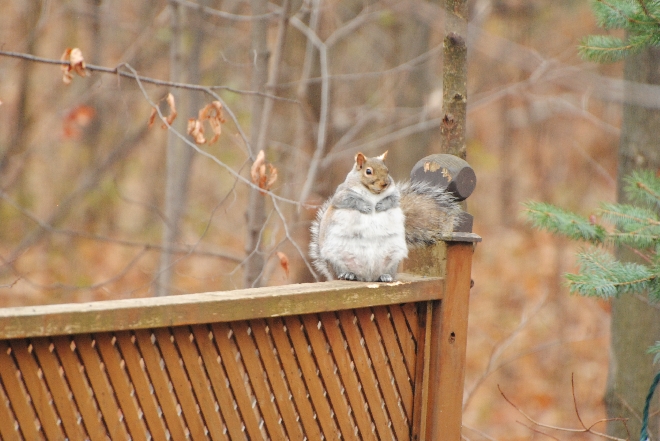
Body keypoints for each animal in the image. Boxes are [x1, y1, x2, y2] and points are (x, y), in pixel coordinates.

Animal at [312, 151, 462, 282]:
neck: (373, 193)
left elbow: (392, 201)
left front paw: (381, 205)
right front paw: (365, 206)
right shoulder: (342, 195)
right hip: (337, 257)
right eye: (368, 171)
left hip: (392, 258)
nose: (385, 183)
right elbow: (351, 201)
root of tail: (367, 277)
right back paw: (348, 274)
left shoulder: (394, 196)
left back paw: (385, 276)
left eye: (387, 170)